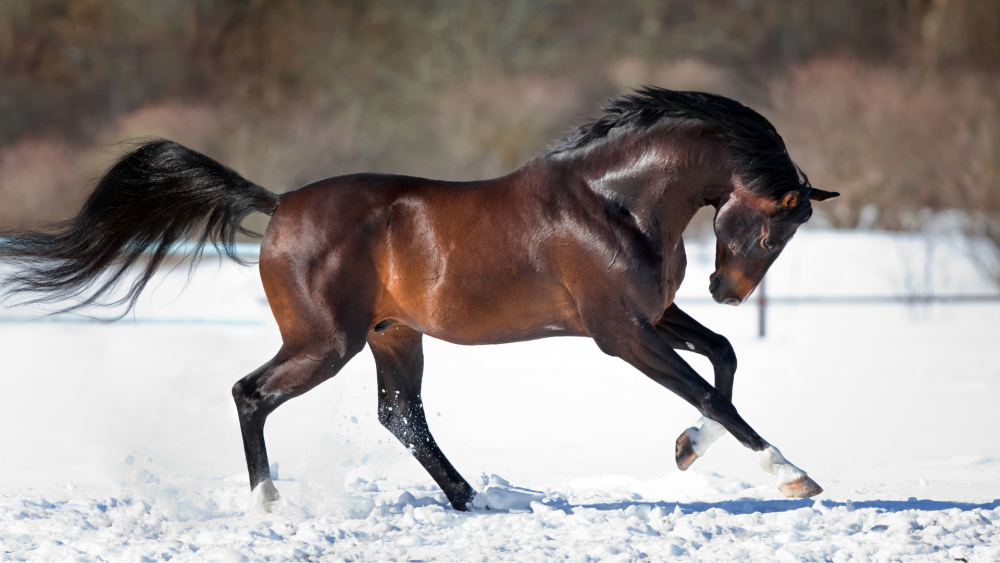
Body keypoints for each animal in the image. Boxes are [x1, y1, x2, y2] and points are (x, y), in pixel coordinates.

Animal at [1, 88, 836, 512]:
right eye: (773, 226)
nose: (727, 290)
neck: (614, 200)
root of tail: (280, 206)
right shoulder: (619, 331)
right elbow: (712, 388)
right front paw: (794, 474)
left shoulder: (653, 315)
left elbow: (723, 363)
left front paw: (687, 448)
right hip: (325, 342)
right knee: (251, 393)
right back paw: (270, 502)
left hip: (393, 333)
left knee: (399, 414)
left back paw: (473, 499)